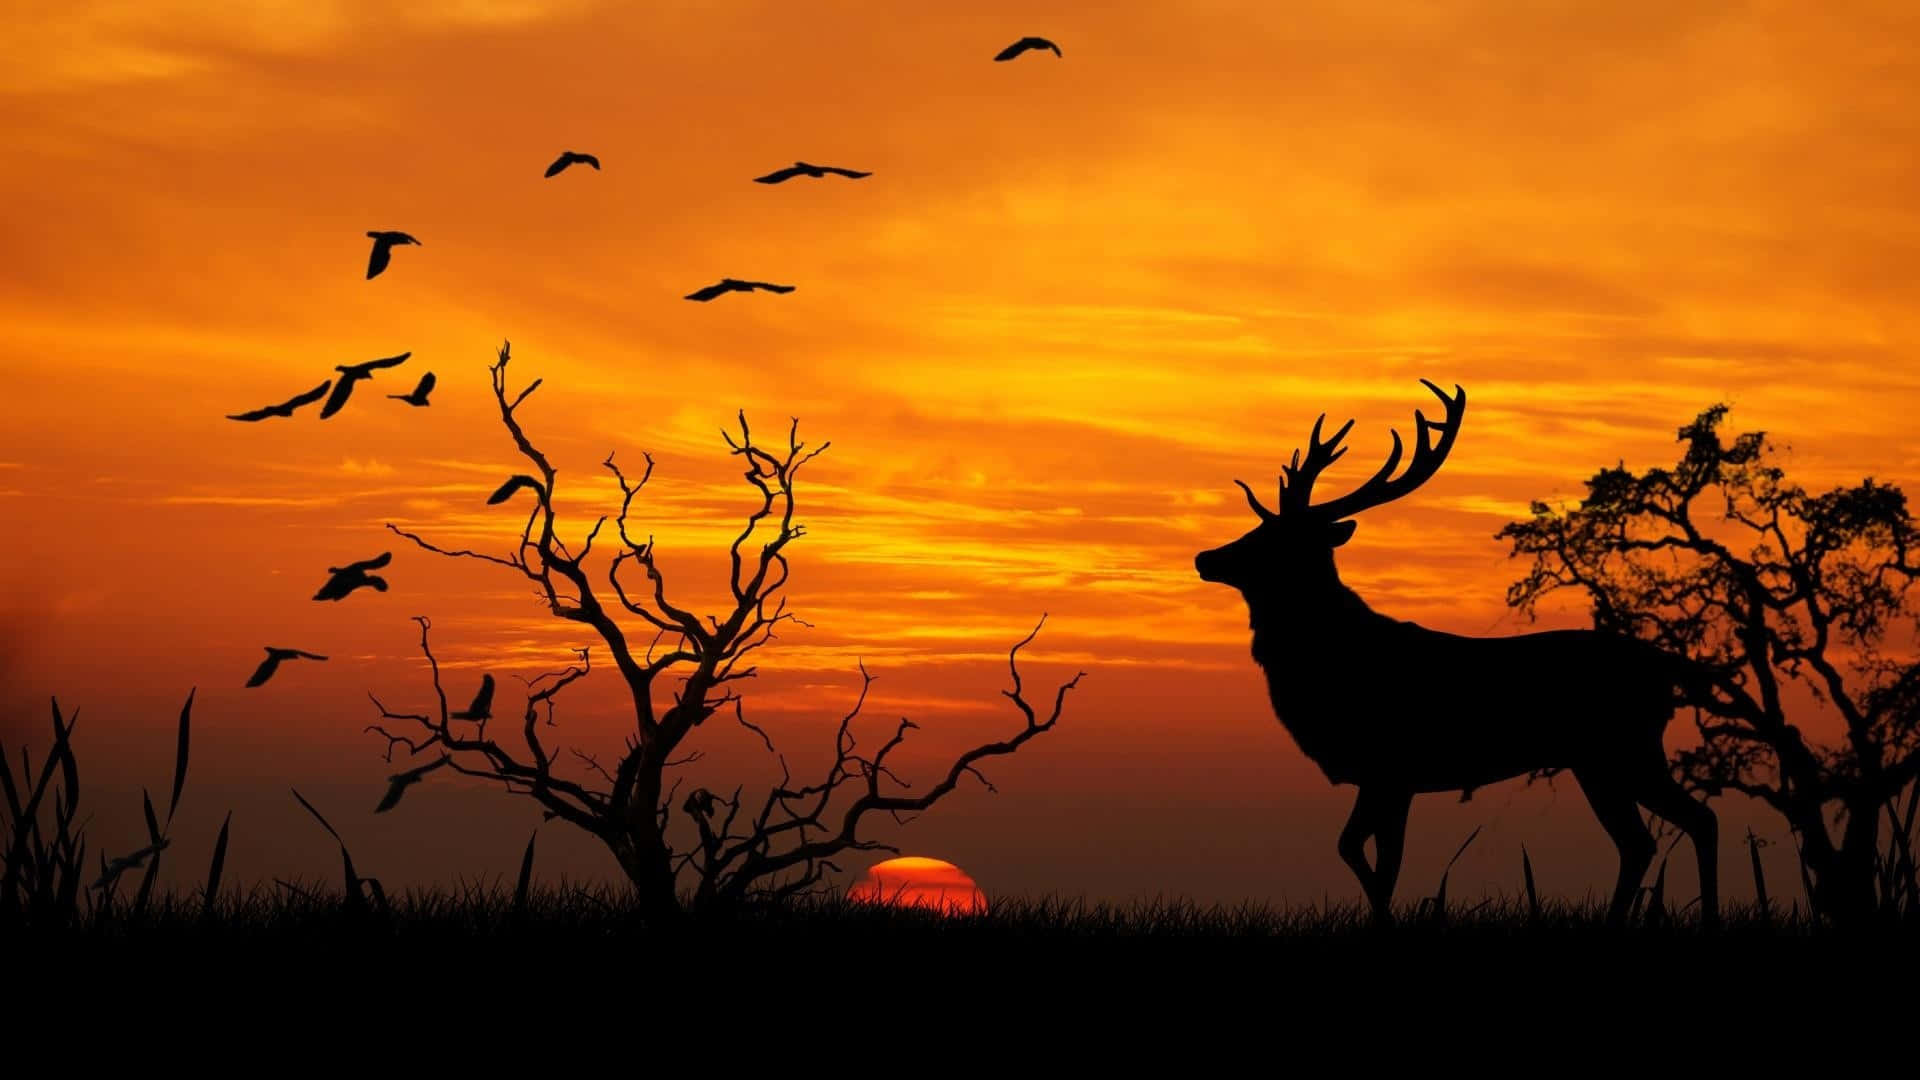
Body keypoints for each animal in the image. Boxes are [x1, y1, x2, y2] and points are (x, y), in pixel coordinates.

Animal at [1194, 380, 1719, 928]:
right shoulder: (1385, 778)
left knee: (1688, 822)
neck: (1329, 663)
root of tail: (1667, 666)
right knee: (1646, 840)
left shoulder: (1391, 767)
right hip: (1600, 761)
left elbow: (1370, 858)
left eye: (1274, 537)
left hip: (1624, 748)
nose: (1205, 557)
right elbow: (1369, 856)